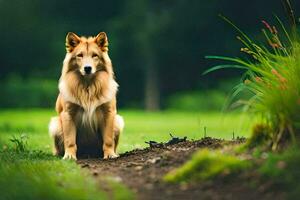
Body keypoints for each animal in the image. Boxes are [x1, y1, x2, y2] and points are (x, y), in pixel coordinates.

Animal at [48, 32, 123, 160]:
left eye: (95, 55)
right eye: (80, 55)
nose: (87, 68)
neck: (88, 87)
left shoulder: (108, 113)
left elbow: (108, 140)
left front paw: (110, 154)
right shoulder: (68, 114)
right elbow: (70, 140)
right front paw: (69, 156)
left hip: (118, 121)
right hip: (55, 124)